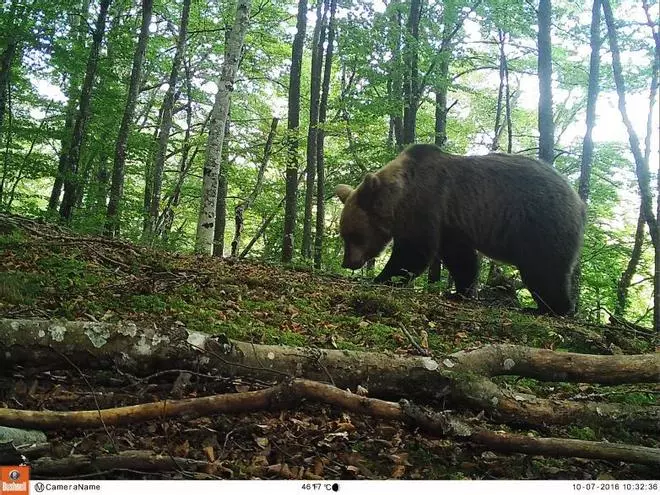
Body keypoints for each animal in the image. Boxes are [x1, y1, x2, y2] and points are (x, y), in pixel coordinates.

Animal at [334, 143, 586, 315]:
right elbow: (460, 258)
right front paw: (461, 291)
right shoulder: (451, 224)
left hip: (541, 223)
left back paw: (553, 308)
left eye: (353, 235)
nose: (348, 262)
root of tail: (579, 201)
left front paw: (382, 278)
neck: (399, 199)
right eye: (343, 233)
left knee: (545, 269)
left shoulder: (427, 204)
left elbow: (414, 252)